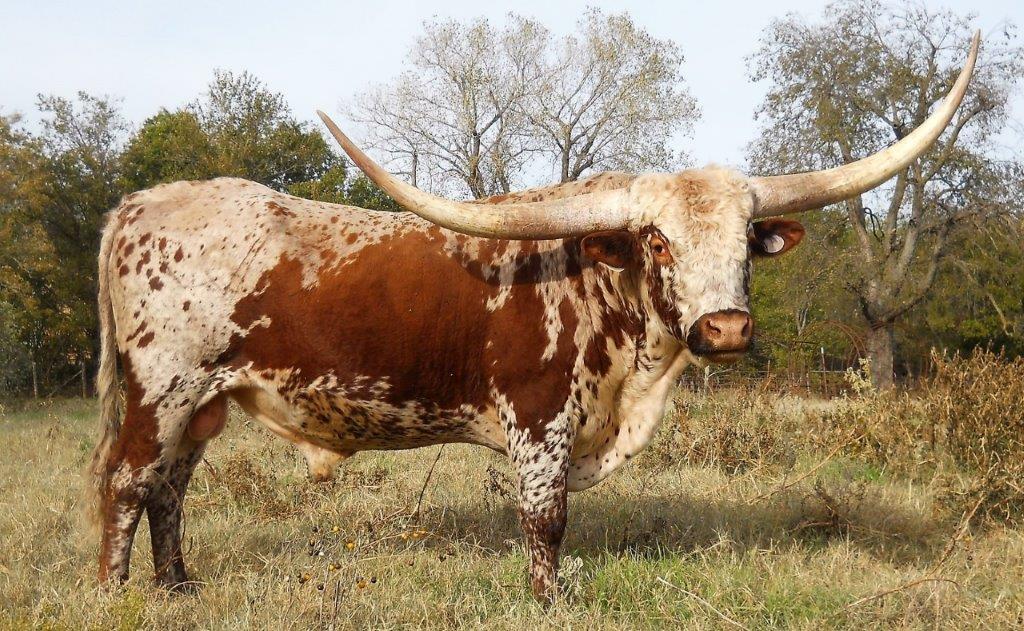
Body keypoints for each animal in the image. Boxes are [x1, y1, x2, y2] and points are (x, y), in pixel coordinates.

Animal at [87, 34, 978, 601]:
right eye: (658, 239)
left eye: (745, 245)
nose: (724, 329)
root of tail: (137, 204)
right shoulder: (538, 419)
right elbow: (545, 520)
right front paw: (550, 599)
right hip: (161, 389)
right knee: (129, 483)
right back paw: (114, 590)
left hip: (204, 402)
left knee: (170, 488)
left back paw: (178, 585)